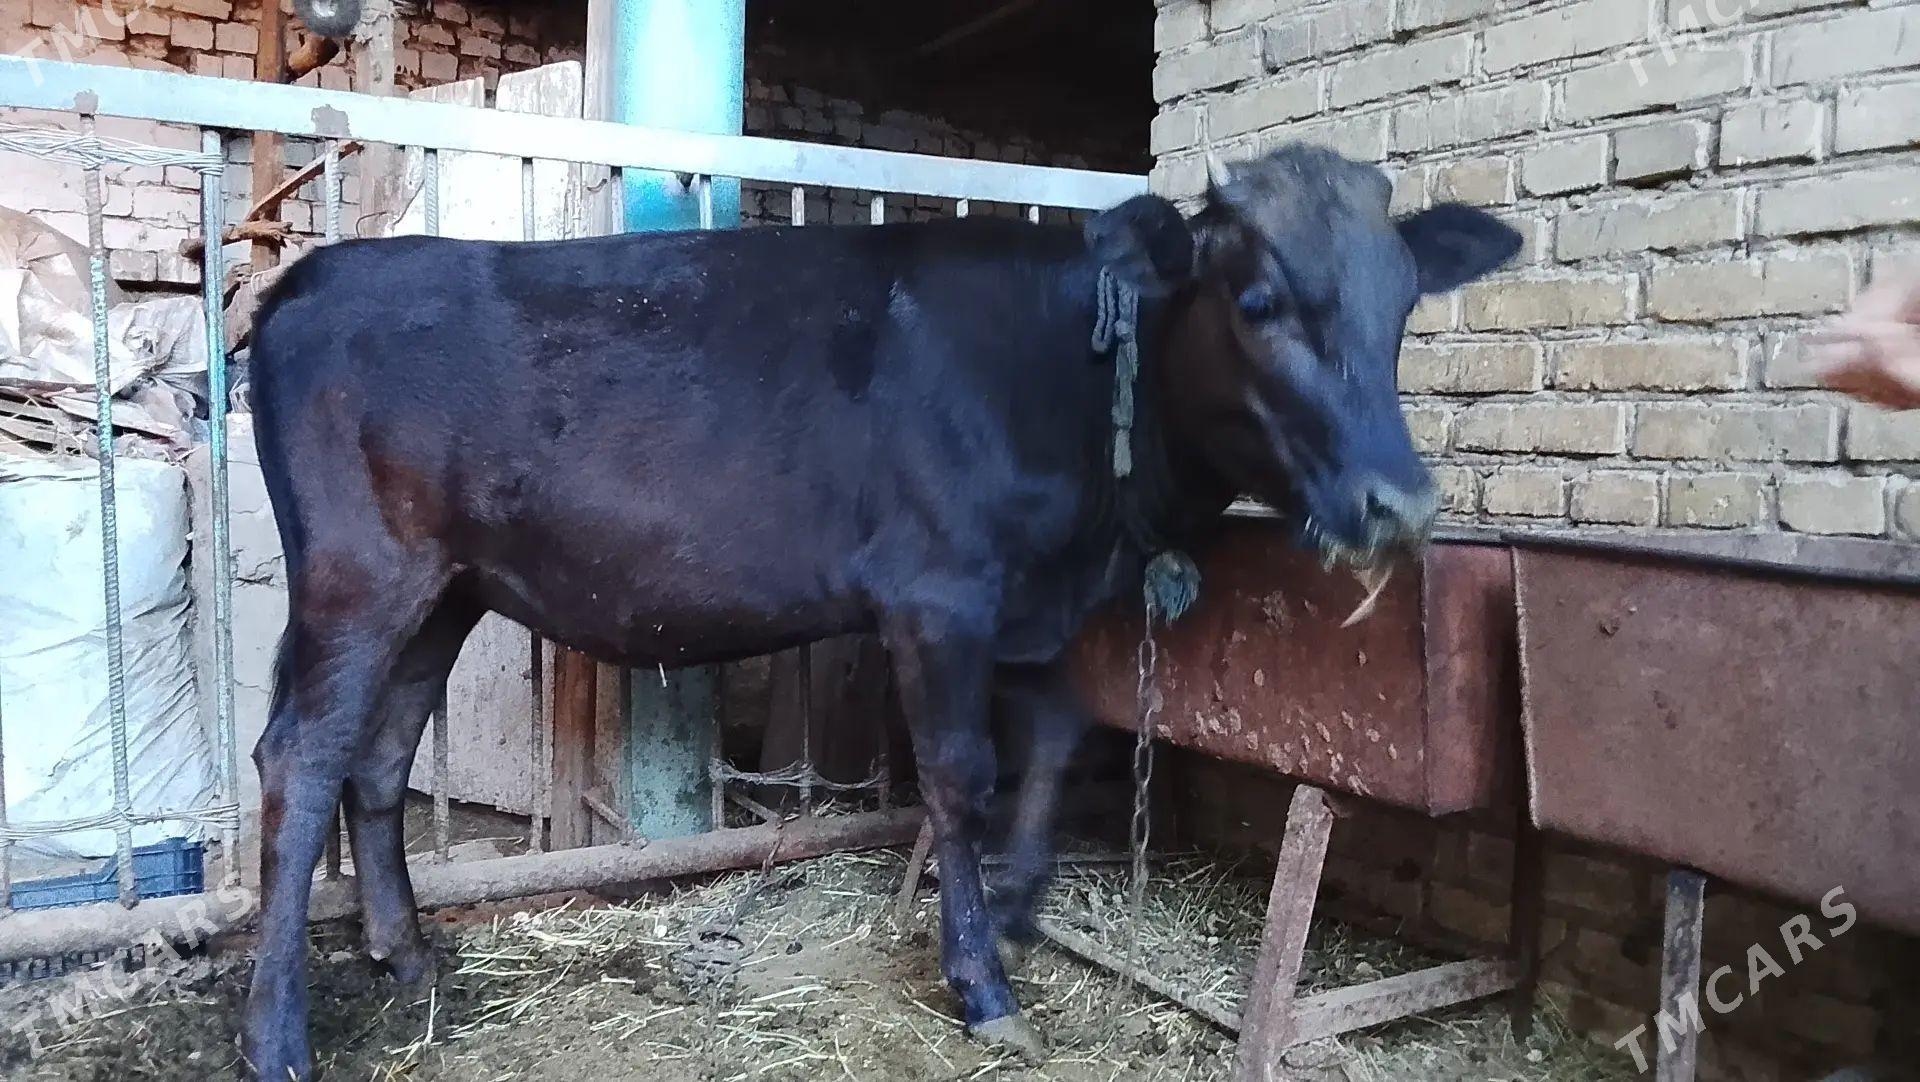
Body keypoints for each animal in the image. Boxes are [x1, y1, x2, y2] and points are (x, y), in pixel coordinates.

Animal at [239, 143, 1520, 1079]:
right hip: (360, 573)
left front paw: (1017, 904)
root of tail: (314, 277)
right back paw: (279, 1035)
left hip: (447, 586)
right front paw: (981, 979)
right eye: (1257, 299)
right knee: (298, 758)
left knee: (377, 754)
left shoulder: (1025, 601)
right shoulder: (936, 592)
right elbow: (959, 774)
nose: (1399, 500)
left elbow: (1058, 735)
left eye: (1404, 306)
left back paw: (410, 958)